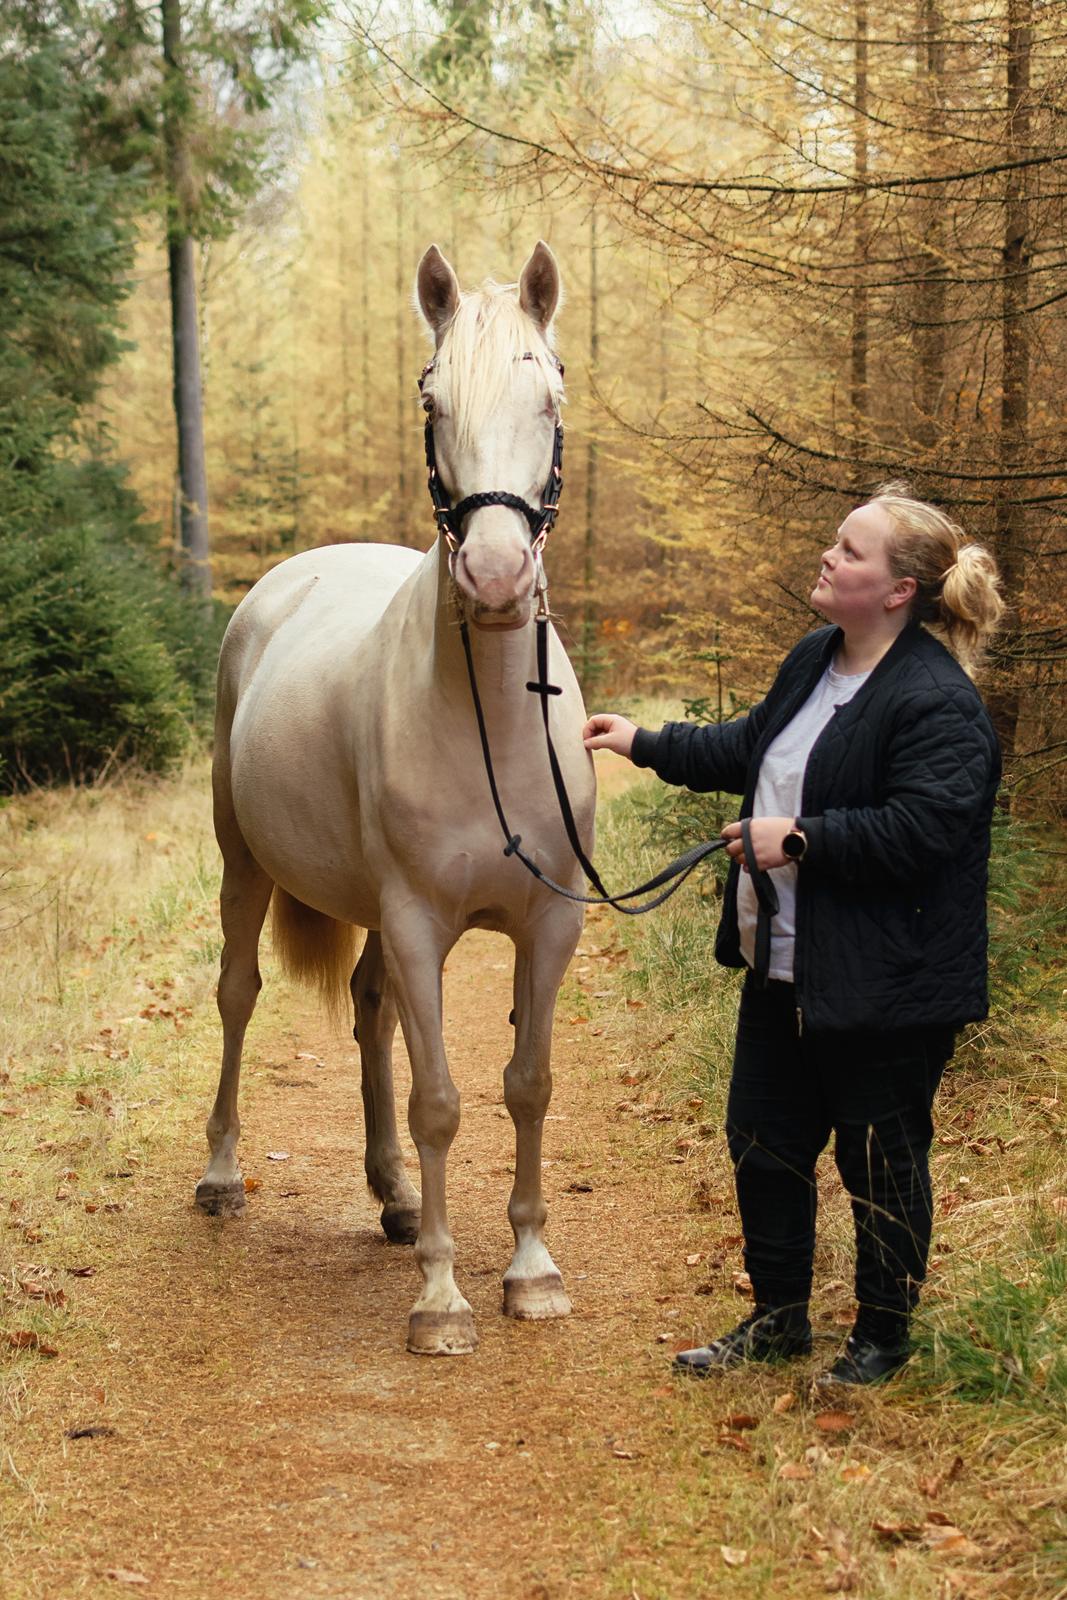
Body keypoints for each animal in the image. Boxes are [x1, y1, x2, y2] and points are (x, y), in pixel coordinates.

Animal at [195, 243, 598, 1356]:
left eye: (549, 394)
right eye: (431, 401)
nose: (495, 575)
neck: (490, 727)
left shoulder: (547, 924)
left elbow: (527, 1085)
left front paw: (531, 1272)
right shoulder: (420, 921)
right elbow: (441, 1104)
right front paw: (441, 1301)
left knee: (370, 1010)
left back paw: (394, 1197)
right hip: (244, 866)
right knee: (238, 995)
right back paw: (220, 1174)